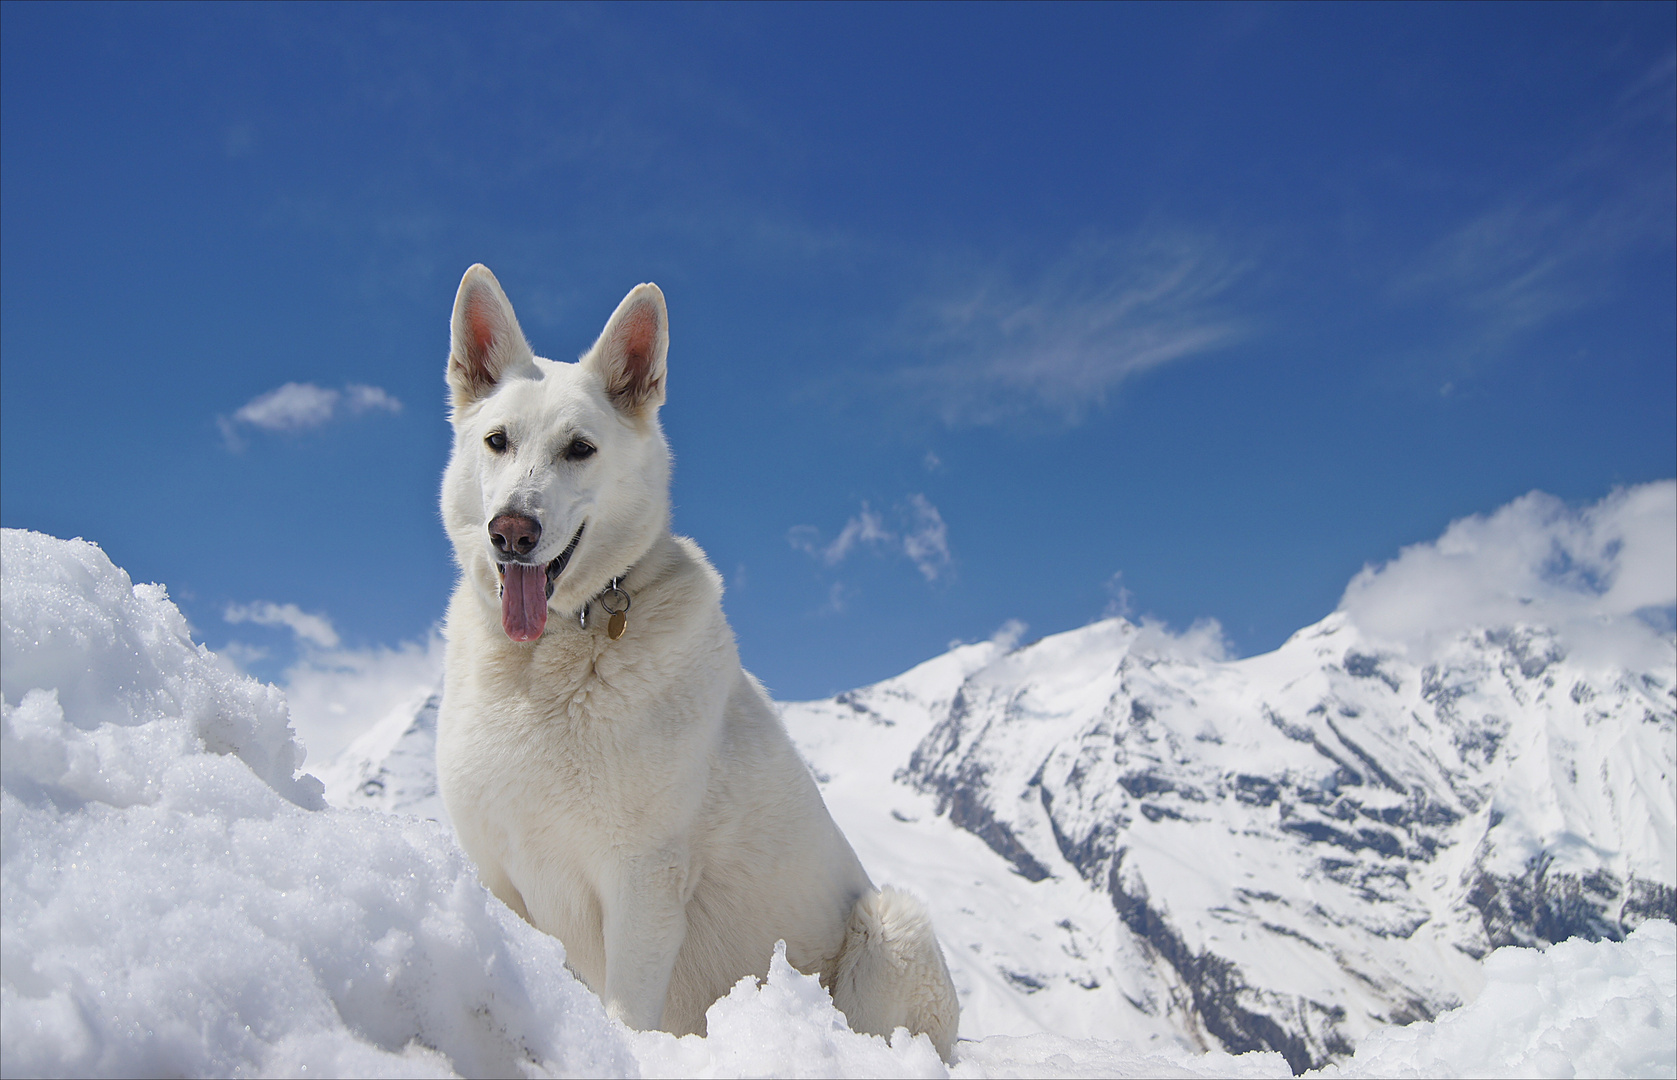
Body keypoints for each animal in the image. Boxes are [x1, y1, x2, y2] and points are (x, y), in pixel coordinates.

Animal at [436, 264, 959, 1059]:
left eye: (579, 449)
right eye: (497, 441)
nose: (511, 532)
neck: (553, 652)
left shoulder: (643, 883)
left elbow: (627, 1013)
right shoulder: (500, 879)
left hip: (891, 927)